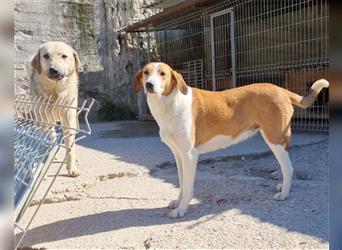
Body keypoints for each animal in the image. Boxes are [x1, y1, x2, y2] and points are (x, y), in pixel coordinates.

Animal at [30, 41, 81, 177]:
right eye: (46, 56)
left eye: (64, 56)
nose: (53, 70)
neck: (55, 91)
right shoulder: (43, 119)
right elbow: (50, 137)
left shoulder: (69, 119)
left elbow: (70, 145)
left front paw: (71, 167)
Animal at [134, 63, 328, 219]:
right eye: (146, 72)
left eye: (163, 74)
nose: (149, 85)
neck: (169, 104)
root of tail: (281, 89)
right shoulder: (178, 155)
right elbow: (181, 183)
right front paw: (178, 201)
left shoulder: (189, 155)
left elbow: (188, 186)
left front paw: (182, 209)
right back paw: (282, 188)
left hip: (275, 138)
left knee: (288, 168)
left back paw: (285, 193)